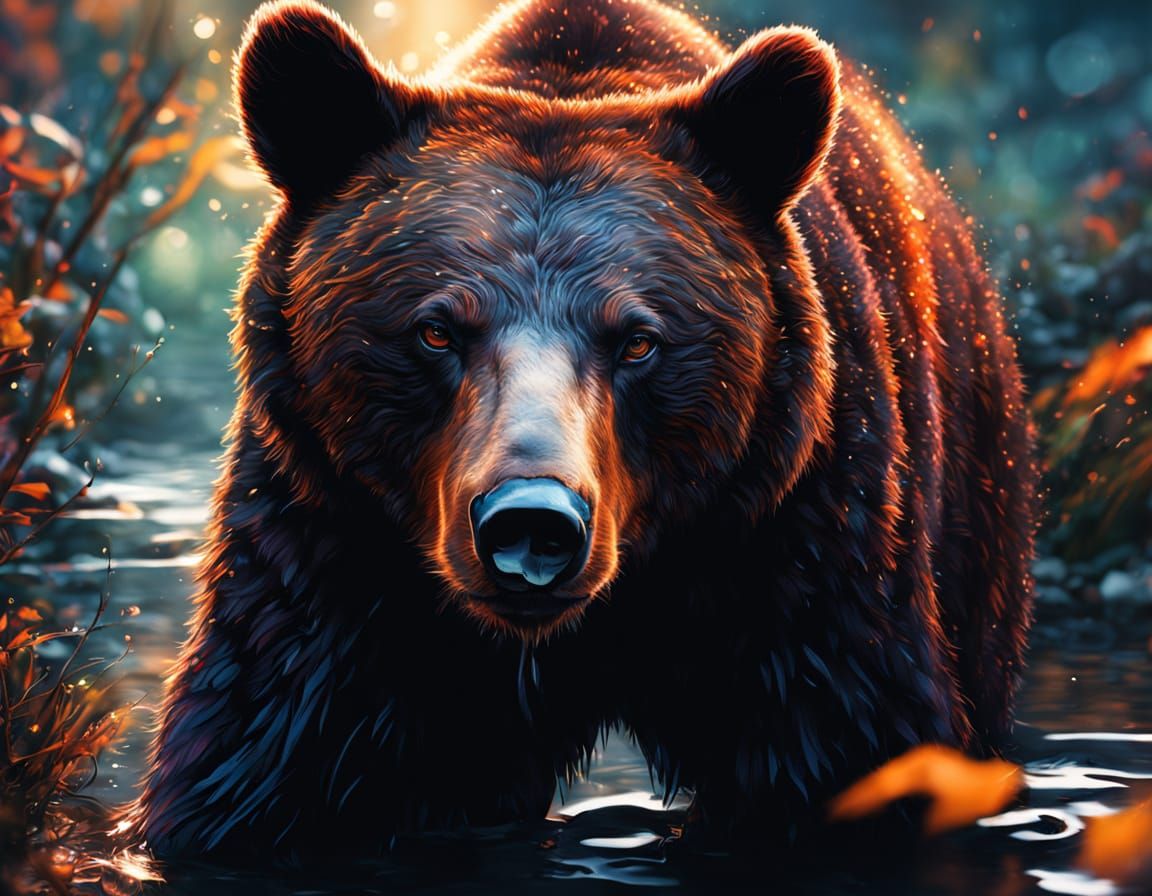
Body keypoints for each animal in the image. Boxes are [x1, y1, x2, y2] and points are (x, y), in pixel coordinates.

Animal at [127, 0, 1036, 858]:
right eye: (437, 329)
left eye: (637, 338)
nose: (531, 525)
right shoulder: (336, 558)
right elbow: (280, 764)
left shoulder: (795, 551)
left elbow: (837, 757)